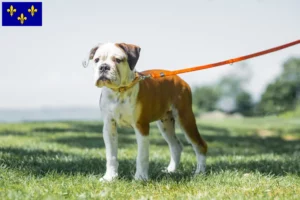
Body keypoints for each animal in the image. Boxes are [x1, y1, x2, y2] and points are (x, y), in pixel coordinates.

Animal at [83, 42, 207, 181]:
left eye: (118, 60)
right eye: (96, 60)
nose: (104, 67)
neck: (119, 91)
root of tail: (178, 78)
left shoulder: (141, 126)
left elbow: (142, 156)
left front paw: (140, 178)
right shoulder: (109, 127)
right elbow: (111, 156)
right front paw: (110, 177)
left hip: (185, 118)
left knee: (200, 145)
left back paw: (200, 172)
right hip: (165, 124)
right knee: (176, 146)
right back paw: (170, 170)